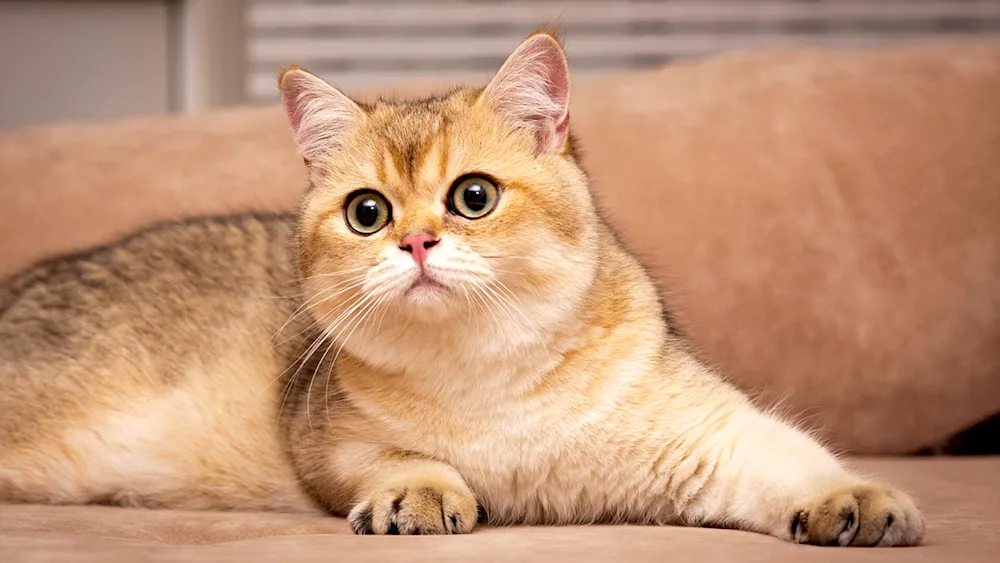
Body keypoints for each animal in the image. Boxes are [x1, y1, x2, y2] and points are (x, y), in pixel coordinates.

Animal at [0, 30, 920, 548]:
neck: (486, 370)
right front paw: (418, 488)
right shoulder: (324, 436)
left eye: (473, 196)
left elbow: (787, 455)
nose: (414, 241)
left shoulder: (707, 434)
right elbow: (391, 459)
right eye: (367, 211)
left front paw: (856, 496)